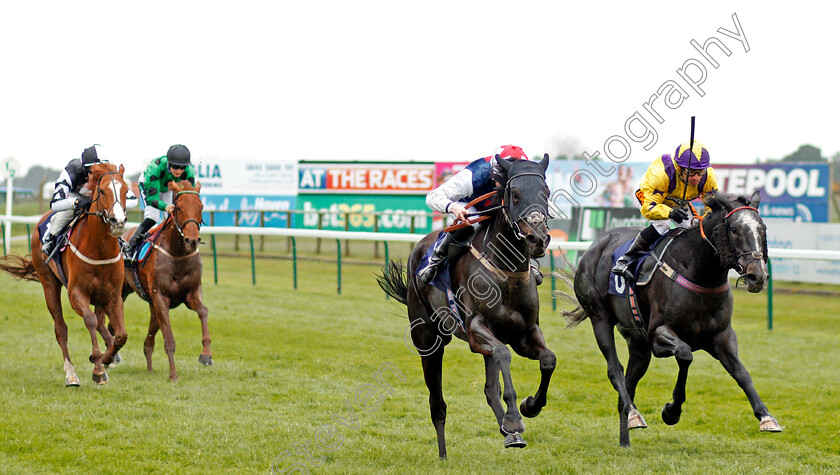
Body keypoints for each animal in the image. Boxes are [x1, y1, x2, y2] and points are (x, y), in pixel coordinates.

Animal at [0, 164, 130, 386]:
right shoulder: (76, 292)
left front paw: (106, 358)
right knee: (61, 329)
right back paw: (70, 374)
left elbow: (120, 334)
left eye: (126, 191)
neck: (99, 249)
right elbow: (90, 320)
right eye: (103, 191)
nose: (118, 221)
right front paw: (98, 369)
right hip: (49, 284)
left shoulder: (113, 295)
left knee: (102, 324)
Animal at [123, 180, 212, 382]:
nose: (192, 240)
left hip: (151, 305)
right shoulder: (161, 298)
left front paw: (206, 354)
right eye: (179, 207)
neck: (177, 255)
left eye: (201, 206)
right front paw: (173, 375)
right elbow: (169, 340)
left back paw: (149, 368)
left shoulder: (191, 293)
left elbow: (203, 311)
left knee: (149, 340)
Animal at [378, 155, 552, 458]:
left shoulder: (525, 333)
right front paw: (515, 418)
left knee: (490, 388)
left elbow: (547, 360)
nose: (537, 240)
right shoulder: (474, 331)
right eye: (515, 194)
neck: (506, 273)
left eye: (546, 193)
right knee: (437, 402)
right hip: (428, 340)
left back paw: (509, 433)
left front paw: (529, 407)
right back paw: (443, 453)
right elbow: (503, 354)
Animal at [556, 190, 788, 446]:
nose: (758, 276)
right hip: (600, 318)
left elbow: (741, 373)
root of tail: (595, 245)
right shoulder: (658, 334)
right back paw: (634, 414)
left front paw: (766, 416)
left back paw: (626, 435)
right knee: (614, 369)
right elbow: (685, 355)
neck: (700, 273)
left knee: (628, 384)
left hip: (638, 343)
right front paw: (671, 411)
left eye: (762, 228)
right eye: (735, 229)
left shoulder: (722, 336)